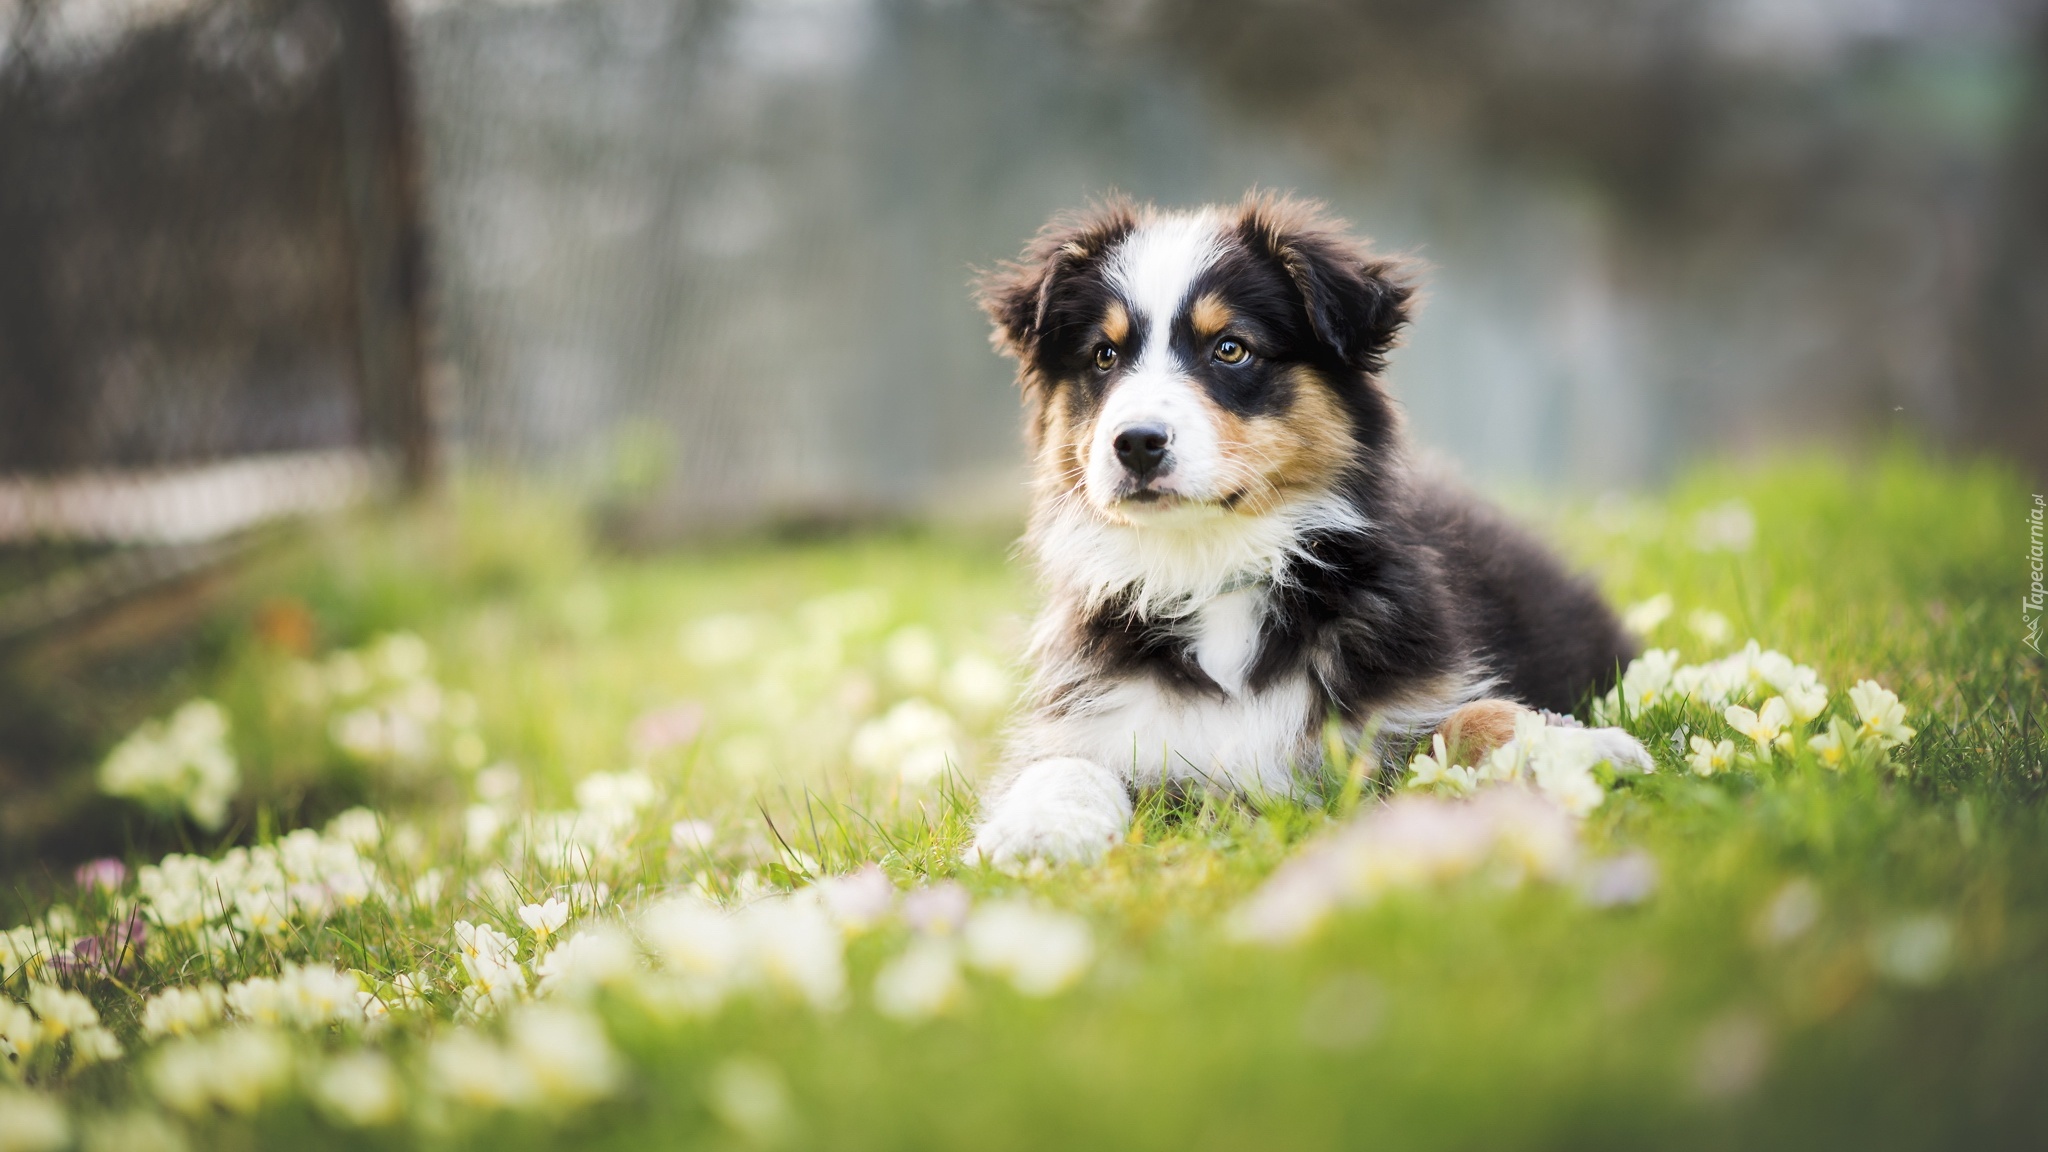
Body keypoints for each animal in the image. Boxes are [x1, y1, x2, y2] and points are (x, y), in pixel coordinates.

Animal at [966, 192, 1654, 865]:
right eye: (1104, 356)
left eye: (1231, 348)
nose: (1135, 443)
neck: (1210, 568)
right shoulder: (1091, 713)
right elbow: (1063, 766)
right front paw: (1038, 830)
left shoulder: (1397, 707)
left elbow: (1471, 718)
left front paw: (1582, 749)